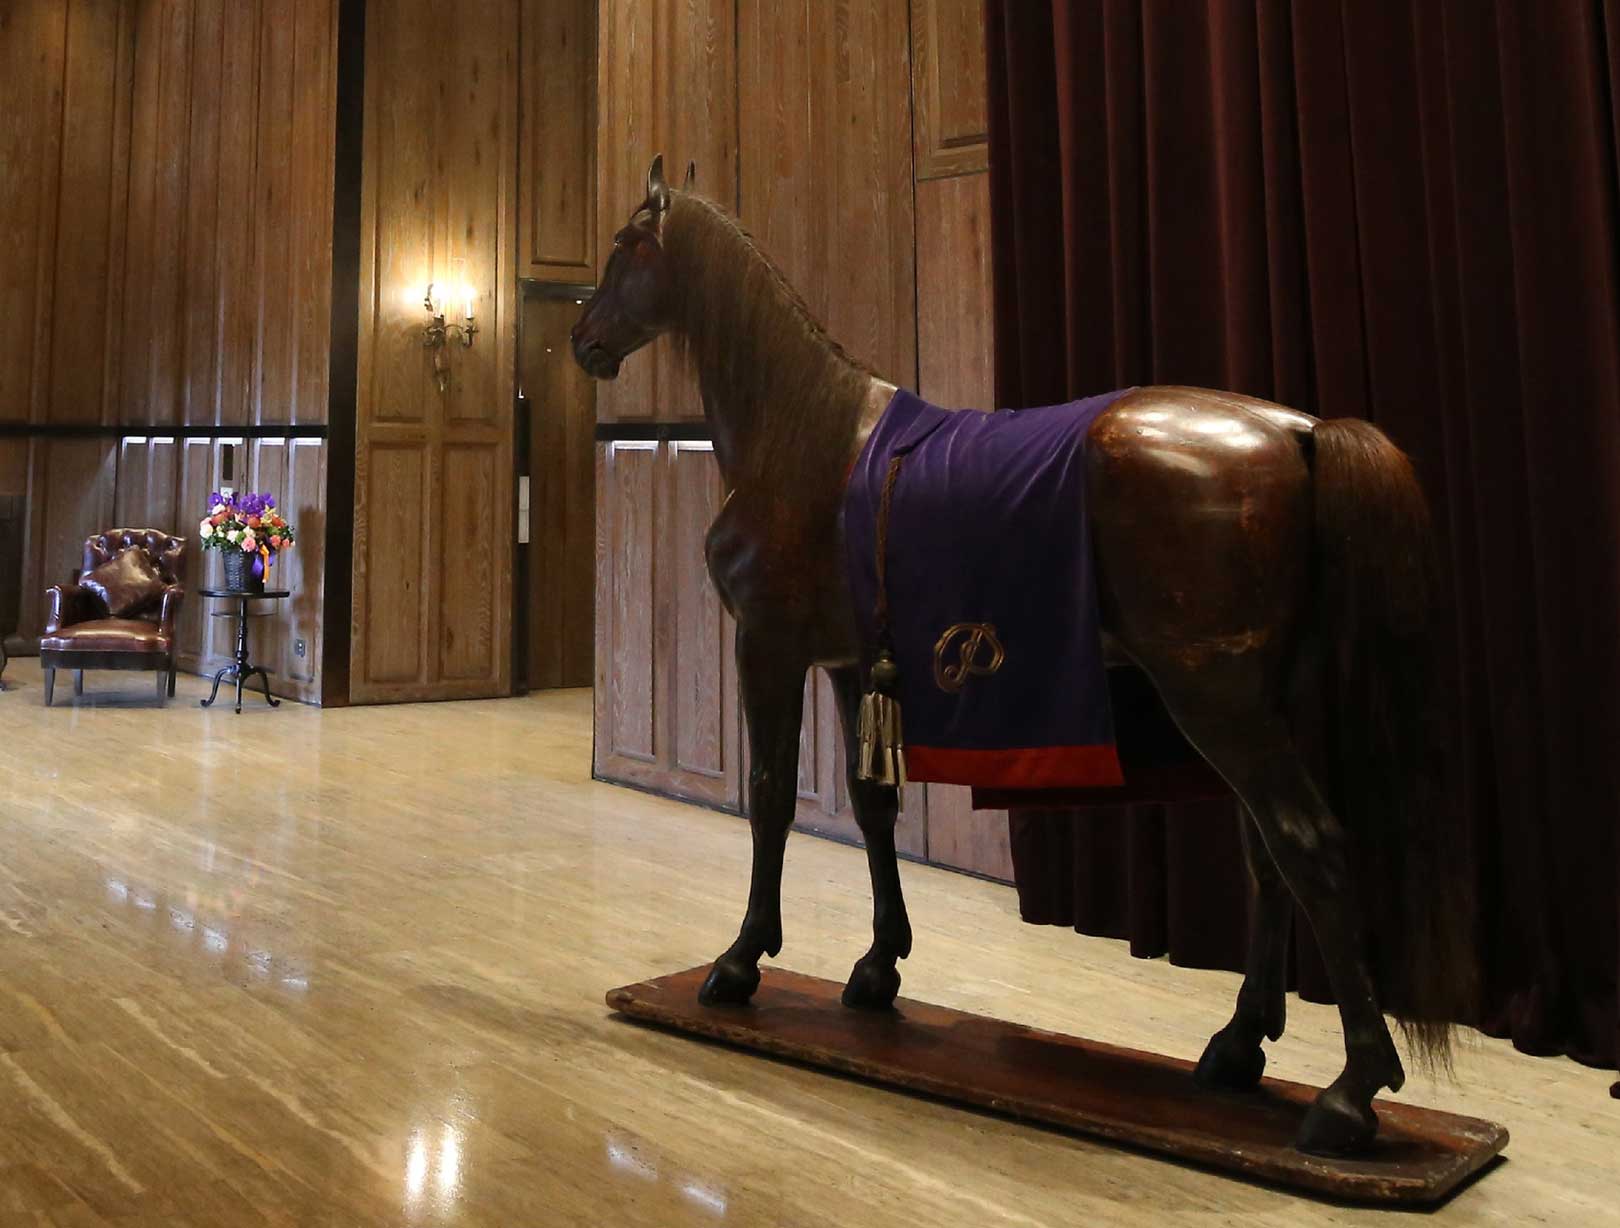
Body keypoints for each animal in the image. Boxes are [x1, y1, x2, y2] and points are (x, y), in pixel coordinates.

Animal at [570, 158, 1470, 1159]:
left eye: (626, 245)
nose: (583, 337)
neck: (807, 435)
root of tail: (1300, 433)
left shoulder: (767, 647)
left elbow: (769, 800)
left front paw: (739, 963)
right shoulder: (848, 665)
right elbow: (872, 807)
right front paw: (877, 970)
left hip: (1218, 702)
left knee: (1308, 847)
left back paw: (1350, 1095)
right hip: (1261, 704)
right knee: (1268, 855)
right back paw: (1239, 1049)